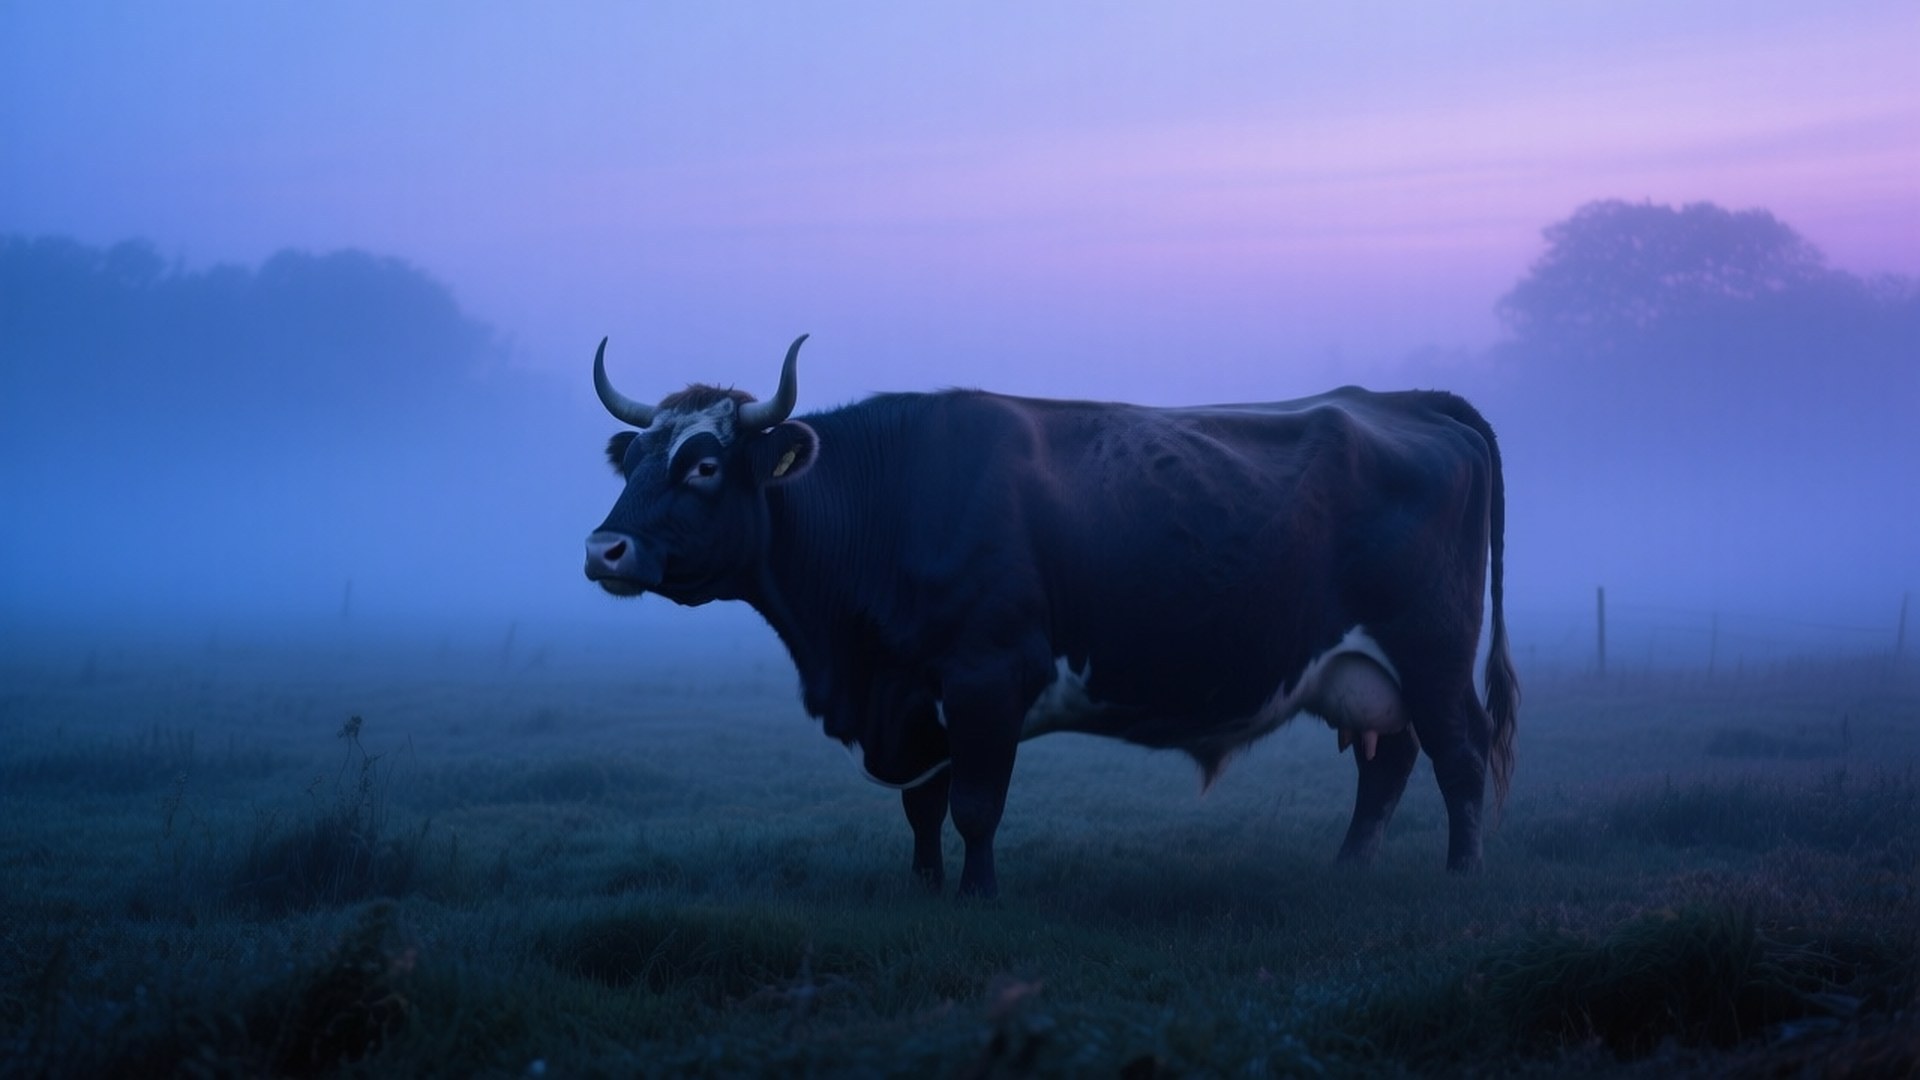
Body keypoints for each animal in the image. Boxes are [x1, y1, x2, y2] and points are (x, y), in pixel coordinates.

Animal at [585, 335, 1518, 898]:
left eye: (704, 465)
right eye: (632, 460)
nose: (604, 549)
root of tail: (1411, 400)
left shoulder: (985, 677)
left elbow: (975, 804)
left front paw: (977, 894)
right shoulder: (912, 697)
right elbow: (923, 807)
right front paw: (925, 889)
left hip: (1431, 649)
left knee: (1460, 754)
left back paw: (1463, 876)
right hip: (1366, 669)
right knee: (1390, 761)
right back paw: (1348, 870)